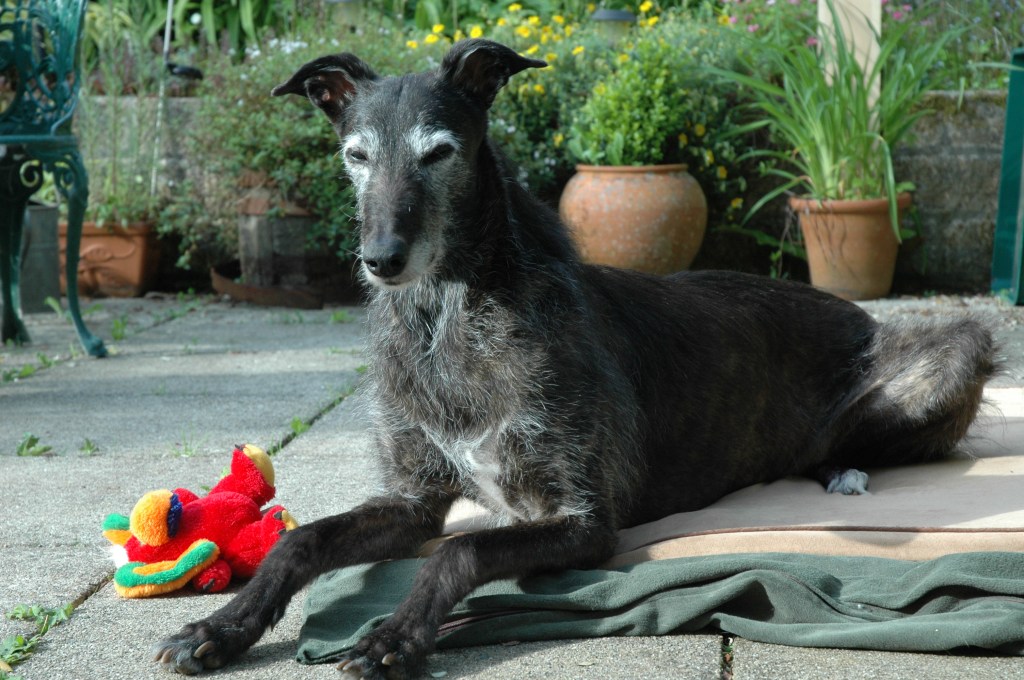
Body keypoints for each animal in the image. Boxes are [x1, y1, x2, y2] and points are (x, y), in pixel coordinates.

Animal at [153, 39, 997, 678]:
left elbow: (459, 552)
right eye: (356, 155)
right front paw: (219, 627)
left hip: (961, 345)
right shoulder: (412, 497)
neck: (447, 320)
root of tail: (852, 307)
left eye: (439, 153)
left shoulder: (584, 520)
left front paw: (393, 637)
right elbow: (300, 541)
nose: (380, 259)